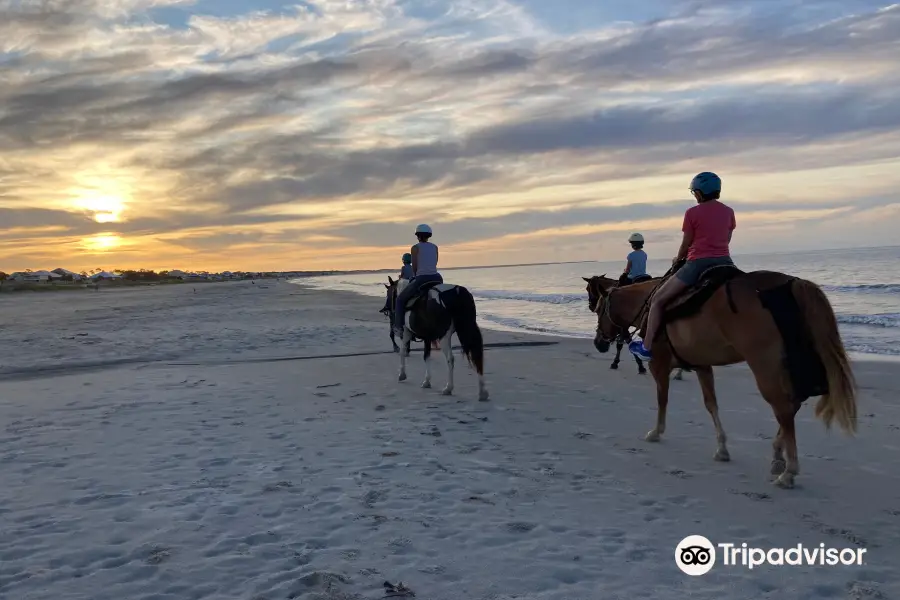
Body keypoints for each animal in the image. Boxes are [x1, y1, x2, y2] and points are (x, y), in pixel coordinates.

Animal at [592, 268, 856, 488]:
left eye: (599, 309)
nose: (598, 343)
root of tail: (793, 283)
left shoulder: (659, 364)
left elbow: (662, 399)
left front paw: (656, 432)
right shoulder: (702, 366)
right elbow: (711, 404)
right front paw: (722, 448)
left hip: (765, 365)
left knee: (784, 408)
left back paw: (788, 471)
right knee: (793, 404)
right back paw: (777, 456)